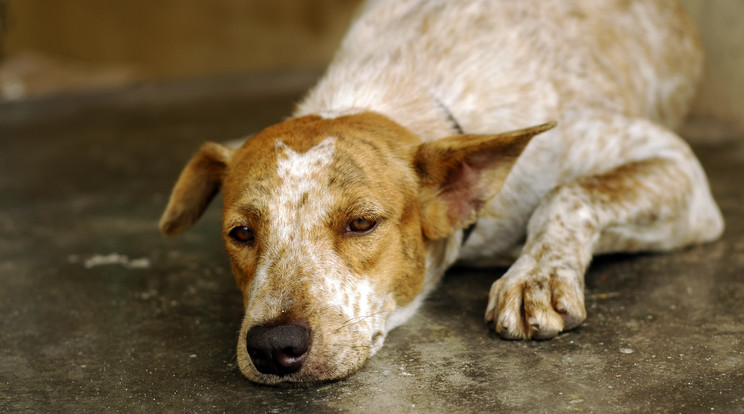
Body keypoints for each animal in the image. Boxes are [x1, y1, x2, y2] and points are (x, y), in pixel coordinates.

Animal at [157, 0, 720, 384]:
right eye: (241, 233)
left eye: (361, 223)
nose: (274, 346)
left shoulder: (678, 170)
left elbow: (568, 194)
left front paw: (536, 277)